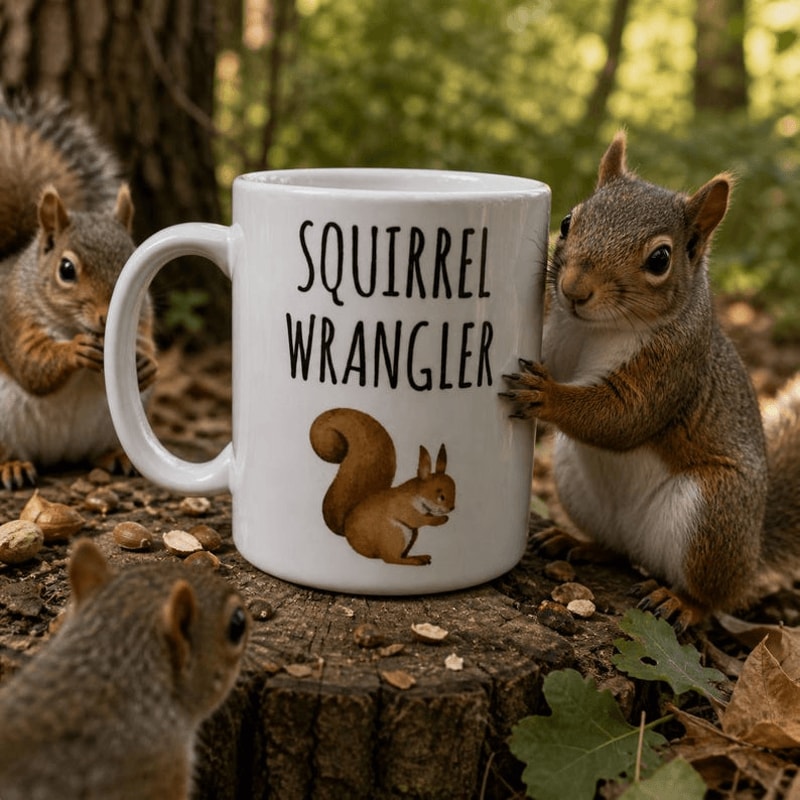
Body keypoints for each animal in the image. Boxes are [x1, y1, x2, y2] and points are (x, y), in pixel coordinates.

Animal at [0, 91, 158, 489]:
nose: (108, 317)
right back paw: (11, 465)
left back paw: (117, 457)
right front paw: (74, 350)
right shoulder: (13, 318)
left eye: (134, 260)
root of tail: (59, 455)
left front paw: (147, 363)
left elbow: (147, 343)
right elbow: (31, 364)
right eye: (66, 270)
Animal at [309, 407, 456, 565]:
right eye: (441, 496)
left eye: (455, 490)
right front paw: (440, 520)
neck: (417, 495)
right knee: (390, 558)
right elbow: (417, 519)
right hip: (395, 534)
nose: (451, 508)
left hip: (410, 535)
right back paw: (415, 560)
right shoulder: (403, 507)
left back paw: (419, 557)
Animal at [502, 131, 800, 630]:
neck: (599, 330)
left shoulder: (674, 366)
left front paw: (546, 395)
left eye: (660, 259)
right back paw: (579, 543)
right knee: (617, 549)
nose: (573, 290)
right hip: (578, 486)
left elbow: (625, 416)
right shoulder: (563, 339)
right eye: (567, 221)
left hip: (714, 515)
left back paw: (681, 602)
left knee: (713, 596)